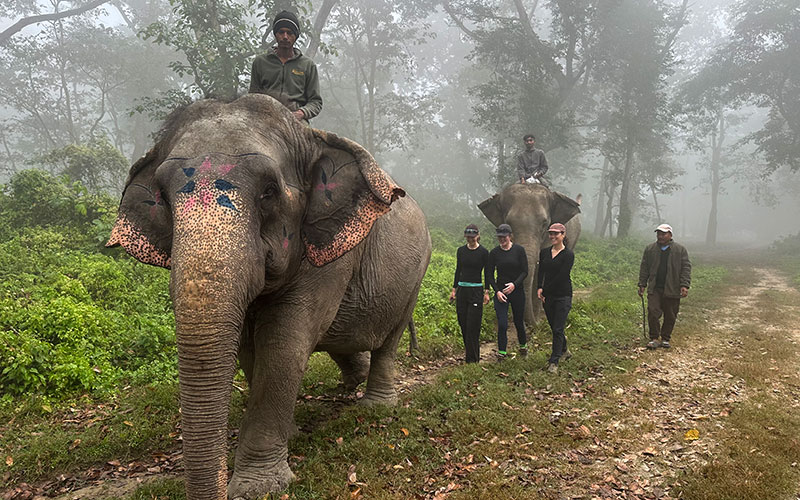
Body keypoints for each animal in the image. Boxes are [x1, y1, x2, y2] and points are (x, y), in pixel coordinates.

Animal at [108, 94, 432, 500]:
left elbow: (283, 341)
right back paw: (350, 384)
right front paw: (289, 434)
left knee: (389, 338)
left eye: (269, 192)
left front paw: (257, 487)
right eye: (163, 199)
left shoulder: (328, 254)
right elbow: (249, 346)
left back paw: (375, 408)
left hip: (417, 273)